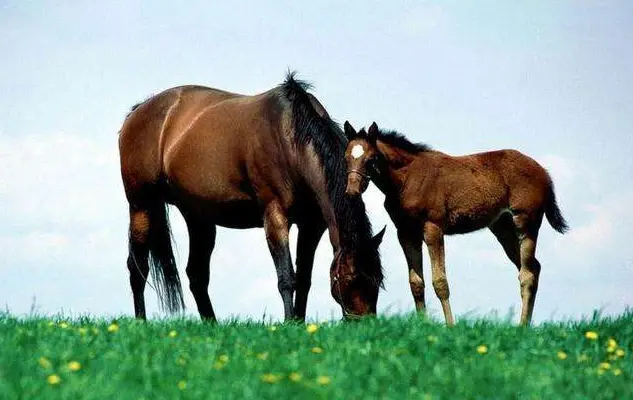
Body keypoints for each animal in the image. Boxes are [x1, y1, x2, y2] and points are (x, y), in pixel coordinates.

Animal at [119, 72, 386, 322]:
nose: (365, 324)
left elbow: (304, 279)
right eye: (351, 277)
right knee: (137, 267)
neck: (290, 139)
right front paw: (289, 323)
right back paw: (141, 322)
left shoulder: (311, 225)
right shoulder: (275, 216)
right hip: (141, 205)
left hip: (198, 218)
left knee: (196, 274)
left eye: (377, 279)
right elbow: (287, 277)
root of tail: (137, 112)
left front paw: (299, 323)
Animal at [344, 121, 572, 324]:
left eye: (371, 158)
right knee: (534, 267)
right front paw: (423, 326)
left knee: (527, 274)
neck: (407, 179)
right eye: (347, 157)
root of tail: (544, 172)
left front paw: (450, 326)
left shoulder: (433, 228)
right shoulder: (406, 232)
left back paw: (522, 326)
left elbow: (440, 281)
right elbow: (416, 283)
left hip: (526, 222)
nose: (351, 191)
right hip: (503, 228)